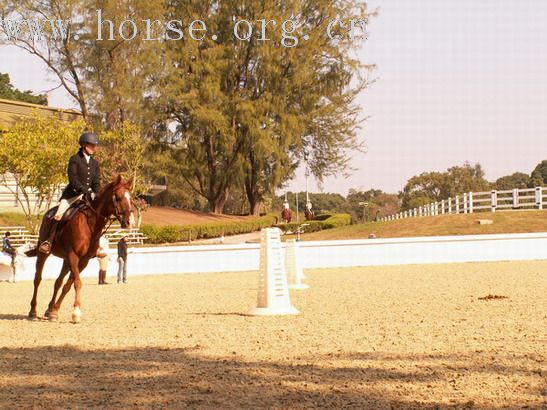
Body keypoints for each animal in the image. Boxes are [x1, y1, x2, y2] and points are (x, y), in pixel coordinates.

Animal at [26, 175, 135, 322]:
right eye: (117, 197)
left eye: (131, 198)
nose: (129, 222)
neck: (90, 224)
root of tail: (48, 213)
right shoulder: (73, 256)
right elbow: (77, 282)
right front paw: (76, 312)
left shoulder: (83, 261)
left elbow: (68, 285)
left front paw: (55, 311)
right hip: (44, 254)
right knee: (37, 279)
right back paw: (33, 311)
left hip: (66, 260)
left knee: (58, 282)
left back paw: (49, 310)